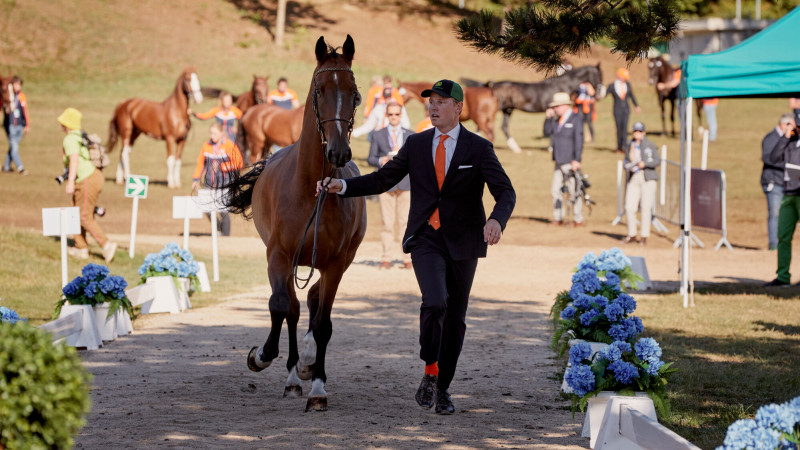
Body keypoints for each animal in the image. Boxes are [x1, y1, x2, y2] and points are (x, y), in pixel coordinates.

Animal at [220, 35, 368, 412]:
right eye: (319, 90)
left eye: (354, 93)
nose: (338, 152)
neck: (310, 189)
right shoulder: (279, 255)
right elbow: (280, 305)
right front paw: (260, 356)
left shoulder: (335, 264)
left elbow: (324, 324)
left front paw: (317, 385)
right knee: (294, 307)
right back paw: (291, 375)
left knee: (313, 303)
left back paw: (306, 365)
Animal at [462, 64, 608, 154]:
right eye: (599, 76)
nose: (601, 93)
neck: (562, 85)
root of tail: (492, 85)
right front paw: (551, 148)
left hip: (508, 110)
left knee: (501, 127)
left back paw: (515, 148)